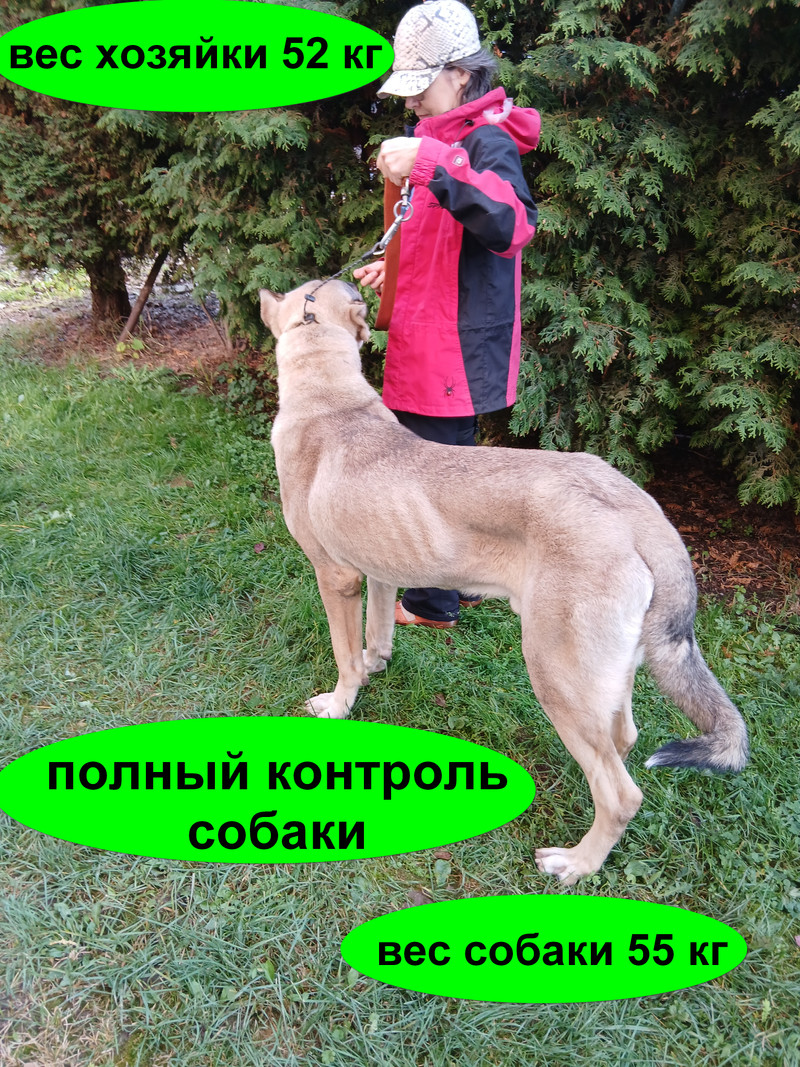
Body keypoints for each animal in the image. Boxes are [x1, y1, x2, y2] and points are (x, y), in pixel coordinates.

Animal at [260, 279, 748, 885]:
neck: (331, 400)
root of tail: (638, 508)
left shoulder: (337, 577)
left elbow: (344, 656)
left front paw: (339, 704)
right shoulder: (379, 574)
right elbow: (376, 636)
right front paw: (377, 666)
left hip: (554, 673)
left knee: (621, 794)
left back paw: (576, 863)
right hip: (602, 678)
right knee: (621, 742)